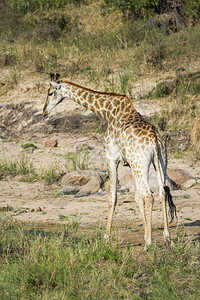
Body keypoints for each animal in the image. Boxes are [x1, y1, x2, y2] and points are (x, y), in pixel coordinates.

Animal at [42, 73, 177, 248]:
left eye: (50, 93)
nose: (44, 112)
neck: (108, 112)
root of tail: (155, 140)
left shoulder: (111, 158)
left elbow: (113, 197)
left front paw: (106, 237)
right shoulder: (129, 163)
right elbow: (137, 197)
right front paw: (146, 229)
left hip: (141, 164)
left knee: (149, 195)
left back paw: (148, 243)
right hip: (159, 162)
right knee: (162, 192)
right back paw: (167, 237)